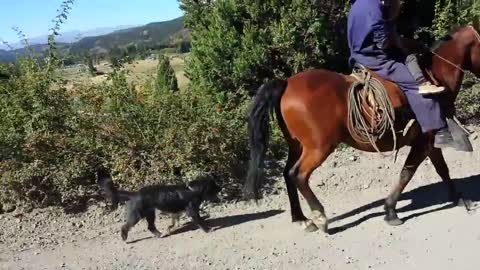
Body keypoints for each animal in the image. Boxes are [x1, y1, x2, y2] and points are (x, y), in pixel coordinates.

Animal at [248, 23, 480, 234]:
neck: (436, 75)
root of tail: (286, 83)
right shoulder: (424, 142)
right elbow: (407, 172)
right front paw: (390, 210)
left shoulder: (429, 140)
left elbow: (442, 169)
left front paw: (459, 199)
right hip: (318, 148)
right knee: (298, 175)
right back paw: (320, 217)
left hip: (296, 145)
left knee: (287, 173)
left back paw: (301, 219)